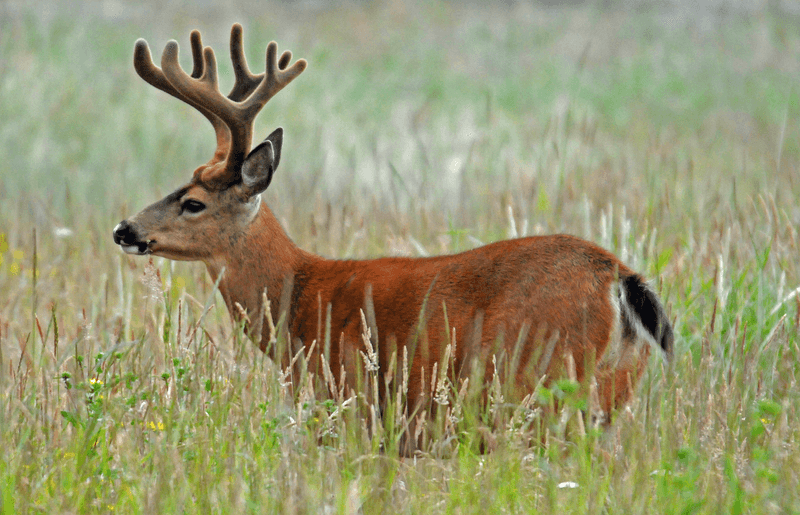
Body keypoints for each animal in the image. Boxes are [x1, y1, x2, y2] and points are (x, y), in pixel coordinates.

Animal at [114, 24, 676, 442]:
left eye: (193, 202)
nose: (124, 229)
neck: (303, 298)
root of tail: (619, 277)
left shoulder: (353, 399)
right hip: (610, 390)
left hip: (544, 380)